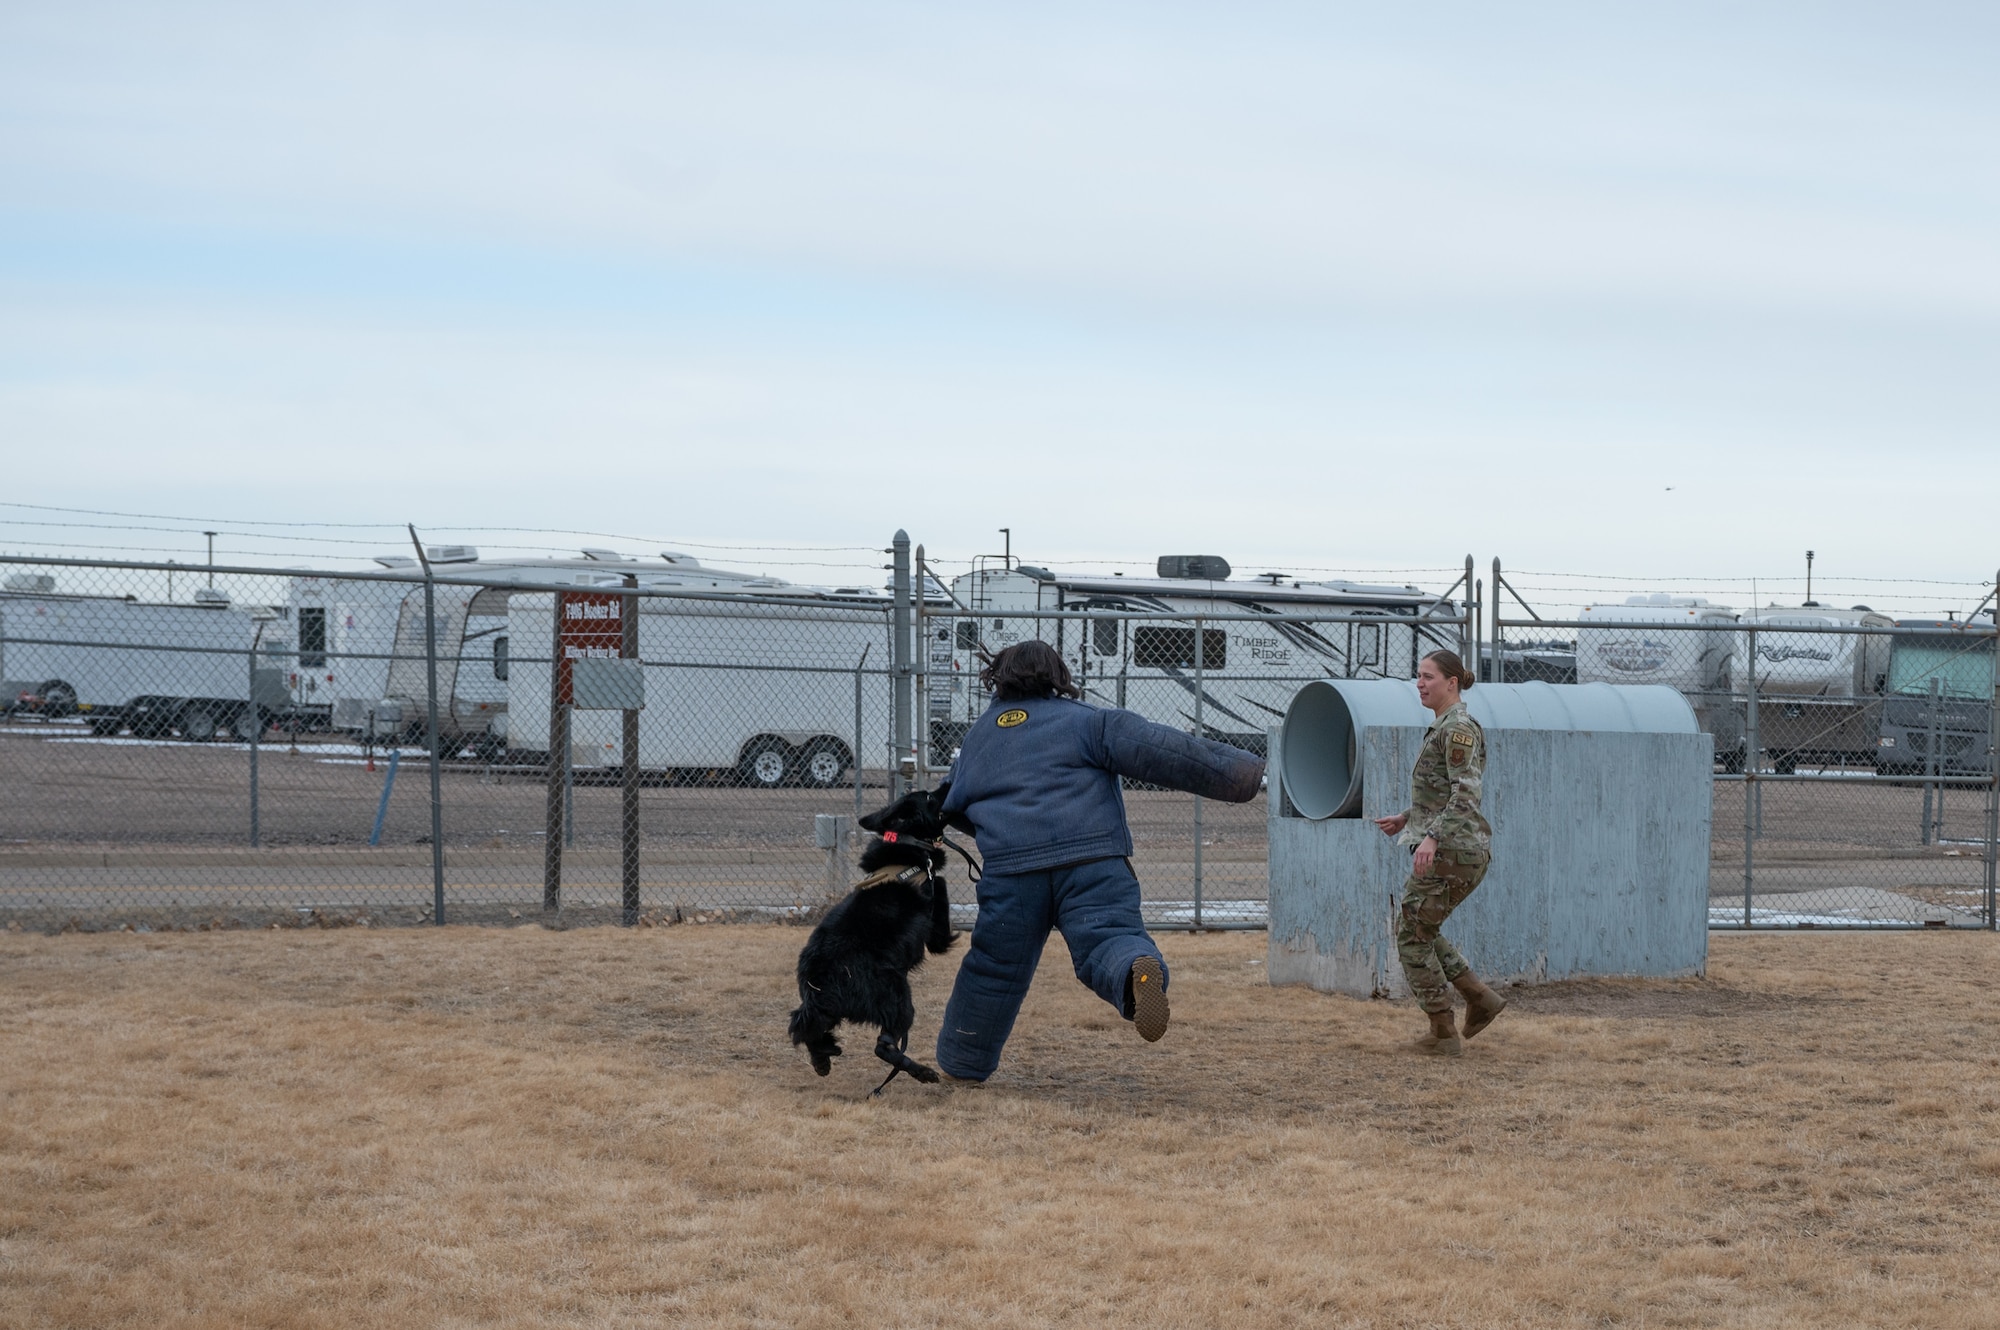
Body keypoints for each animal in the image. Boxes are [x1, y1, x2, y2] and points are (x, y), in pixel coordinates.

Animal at [788, 788, 960, 1088]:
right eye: (929, 797)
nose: (948, 783)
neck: (906, 844)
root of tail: (818, 981)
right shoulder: (934, 898)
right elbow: (941, 891)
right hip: (898, 996)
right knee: (884, 1046)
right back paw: (923, 1072)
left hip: (828, 1012)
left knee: (809, 1030)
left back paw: (822, 1060)